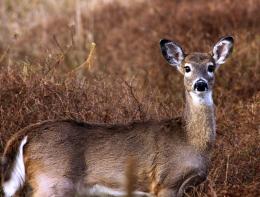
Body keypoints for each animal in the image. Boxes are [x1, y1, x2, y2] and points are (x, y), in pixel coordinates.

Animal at [1, 35, 234, 197]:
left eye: (211, 67)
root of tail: (26, 134)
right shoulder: (166, 182)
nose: (200, 84)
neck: (190, 141)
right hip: (52, 180)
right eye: (186, 68)